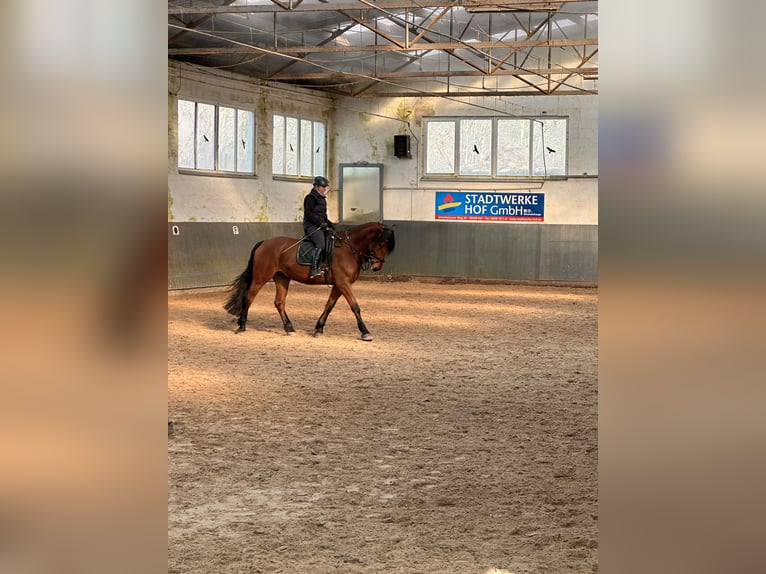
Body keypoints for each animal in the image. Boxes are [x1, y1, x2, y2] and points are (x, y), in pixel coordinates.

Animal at [224, 223, 396, 342]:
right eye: (381, 242)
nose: (376, 267)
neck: (349, 249)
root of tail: (264, 242)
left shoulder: (338, 285)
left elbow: (329, 305)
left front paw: (318, 329)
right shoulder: (343, 284)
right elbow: (355, 307)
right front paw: (365, 332)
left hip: (282, 278)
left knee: (279, 302)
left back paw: (289, 328)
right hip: (261, 277)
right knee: (248, 298)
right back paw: (242, 326)